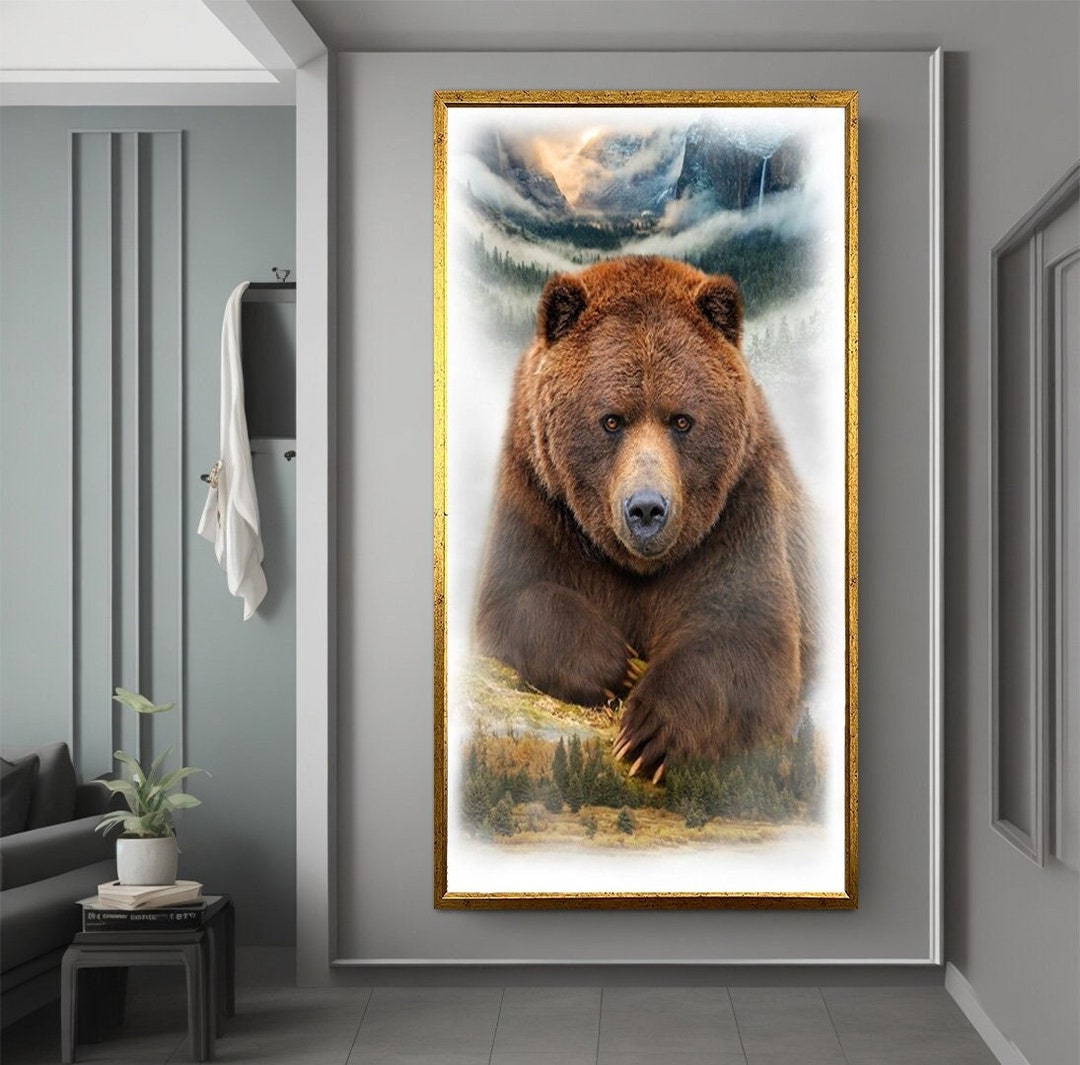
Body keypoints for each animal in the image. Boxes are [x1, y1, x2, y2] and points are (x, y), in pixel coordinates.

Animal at [473, 256, 815, 784]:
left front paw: (649, 731)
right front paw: (618, 666)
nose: (647, 510)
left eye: (682, 420)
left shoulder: (738, 513)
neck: (637, 565)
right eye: (612, 419)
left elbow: (751, 639)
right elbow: (516, 596)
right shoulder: (538, 499)